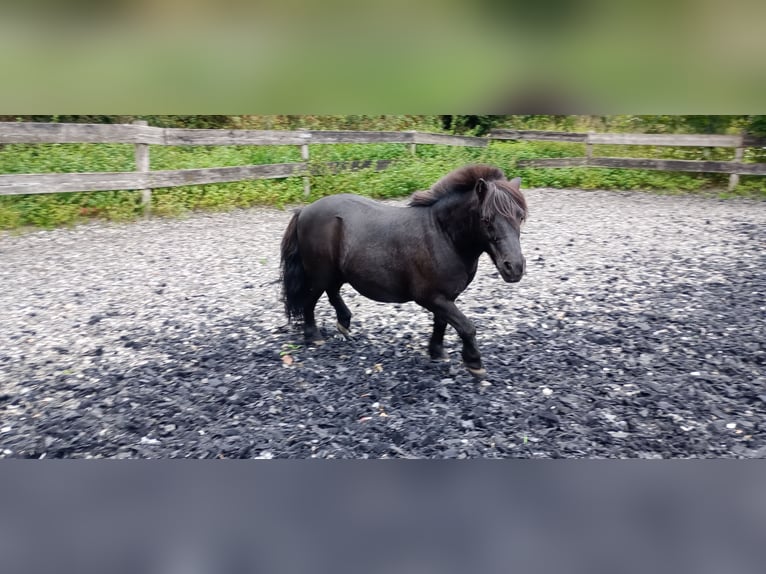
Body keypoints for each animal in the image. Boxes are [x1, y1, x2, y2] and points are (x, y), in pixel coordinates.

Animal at [282, 164, 528, 378]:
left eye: (521, 217)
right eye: (486, 219)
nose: (514, 267)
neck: (443, 235)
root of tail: (305, 210)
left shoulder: (445, 298)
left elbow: (442, 323)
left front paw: (437, 352)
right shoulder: (431, 297)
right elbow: (466, 327)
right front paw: (474, 362)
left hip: (336, 273)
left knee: (332, 293)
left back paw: (344, 324)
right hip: (319, 274)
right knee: (310, 301)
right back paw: (313, 336)